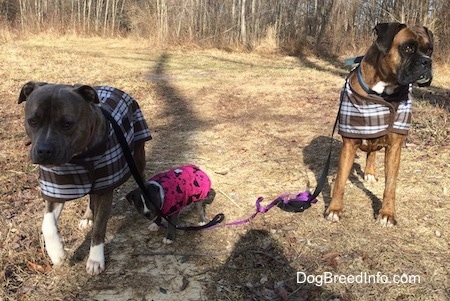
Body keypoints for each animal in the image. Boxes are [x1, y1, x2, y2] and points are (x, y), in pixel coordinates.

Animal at [18, 82, 152, 274]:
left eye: (67, 123)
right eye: (33, 121)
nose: (44, 150)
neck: (78, 157)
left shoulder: (104, 189)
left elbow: (99, 228)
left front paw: (95, 259)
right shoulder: (56, 189)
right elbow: (47, 224)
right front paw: (57, 253)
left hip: (138, 153)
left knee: (141, 174)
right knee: (90, 197)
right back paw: (87, 217)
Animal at [326, 22, 434, 225]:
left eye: (429, 50)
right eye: (408, 48)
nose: (427, 62)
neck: (382, 92)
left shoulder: (395, 147)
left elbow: (390, 184)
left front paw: (387, 214)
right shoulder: (349, 143)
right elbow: (340, 181)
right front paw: (334, 209)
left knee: (372, 153)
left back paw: (369, 172)